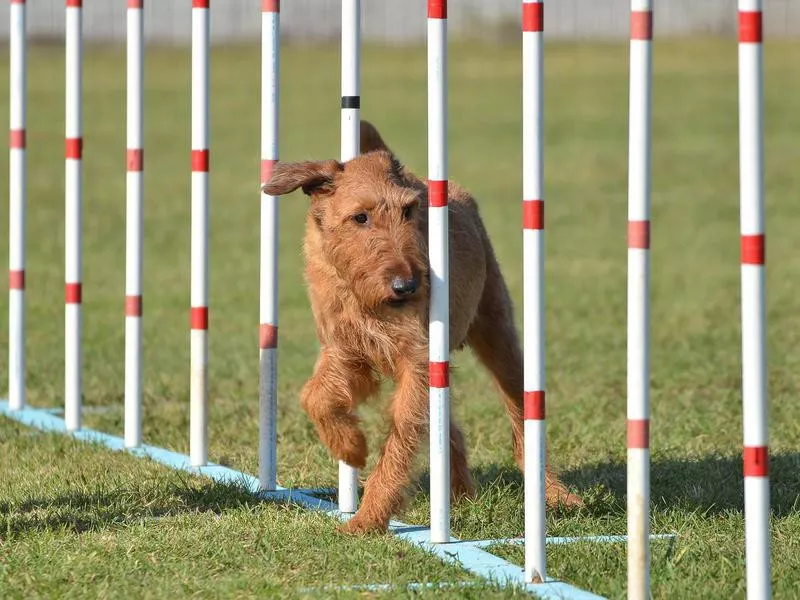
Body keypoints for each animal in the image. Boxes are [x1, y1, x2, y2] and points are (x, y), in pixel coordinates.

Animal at [262, 122, 580, 536]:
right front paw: (351, 446)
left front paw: (367, 518)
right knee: (448, 424)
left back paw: (555, 494)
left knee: (521, 415)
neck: (363, 297)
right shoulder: (347, 352)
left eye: (408, 210)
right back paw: (459, 492)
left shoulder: (416, 359)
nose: (408, 285)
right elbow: (315, 397)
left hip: (498, 334)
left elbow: (400, 441)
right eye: (360, 217)